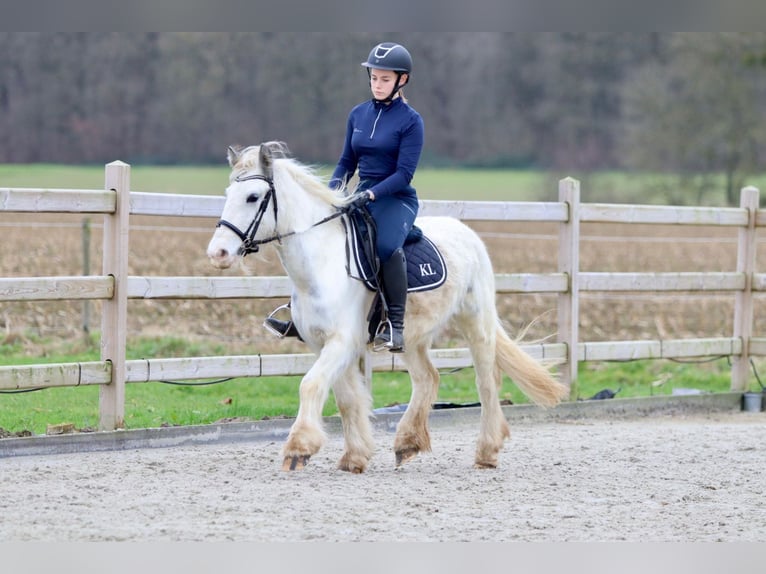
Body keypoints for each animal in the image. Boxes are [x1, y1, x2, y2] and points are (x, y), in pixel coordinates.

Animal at [208, 142, 568, 474]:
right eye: (227, 193)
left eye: (253, 197)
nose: (218, 254)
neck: (321, 264)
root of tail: (467, 233)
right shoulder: (321, 343)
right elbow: (346, 398)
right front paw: (354, 457)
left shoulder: (342, 341)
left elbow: (310, 384)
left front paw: (298, 449)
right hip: (410, 336)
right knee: (427, 378)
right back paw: (407, 443)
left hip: (475, 321)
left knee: (486, 381)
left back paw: (487, 452)